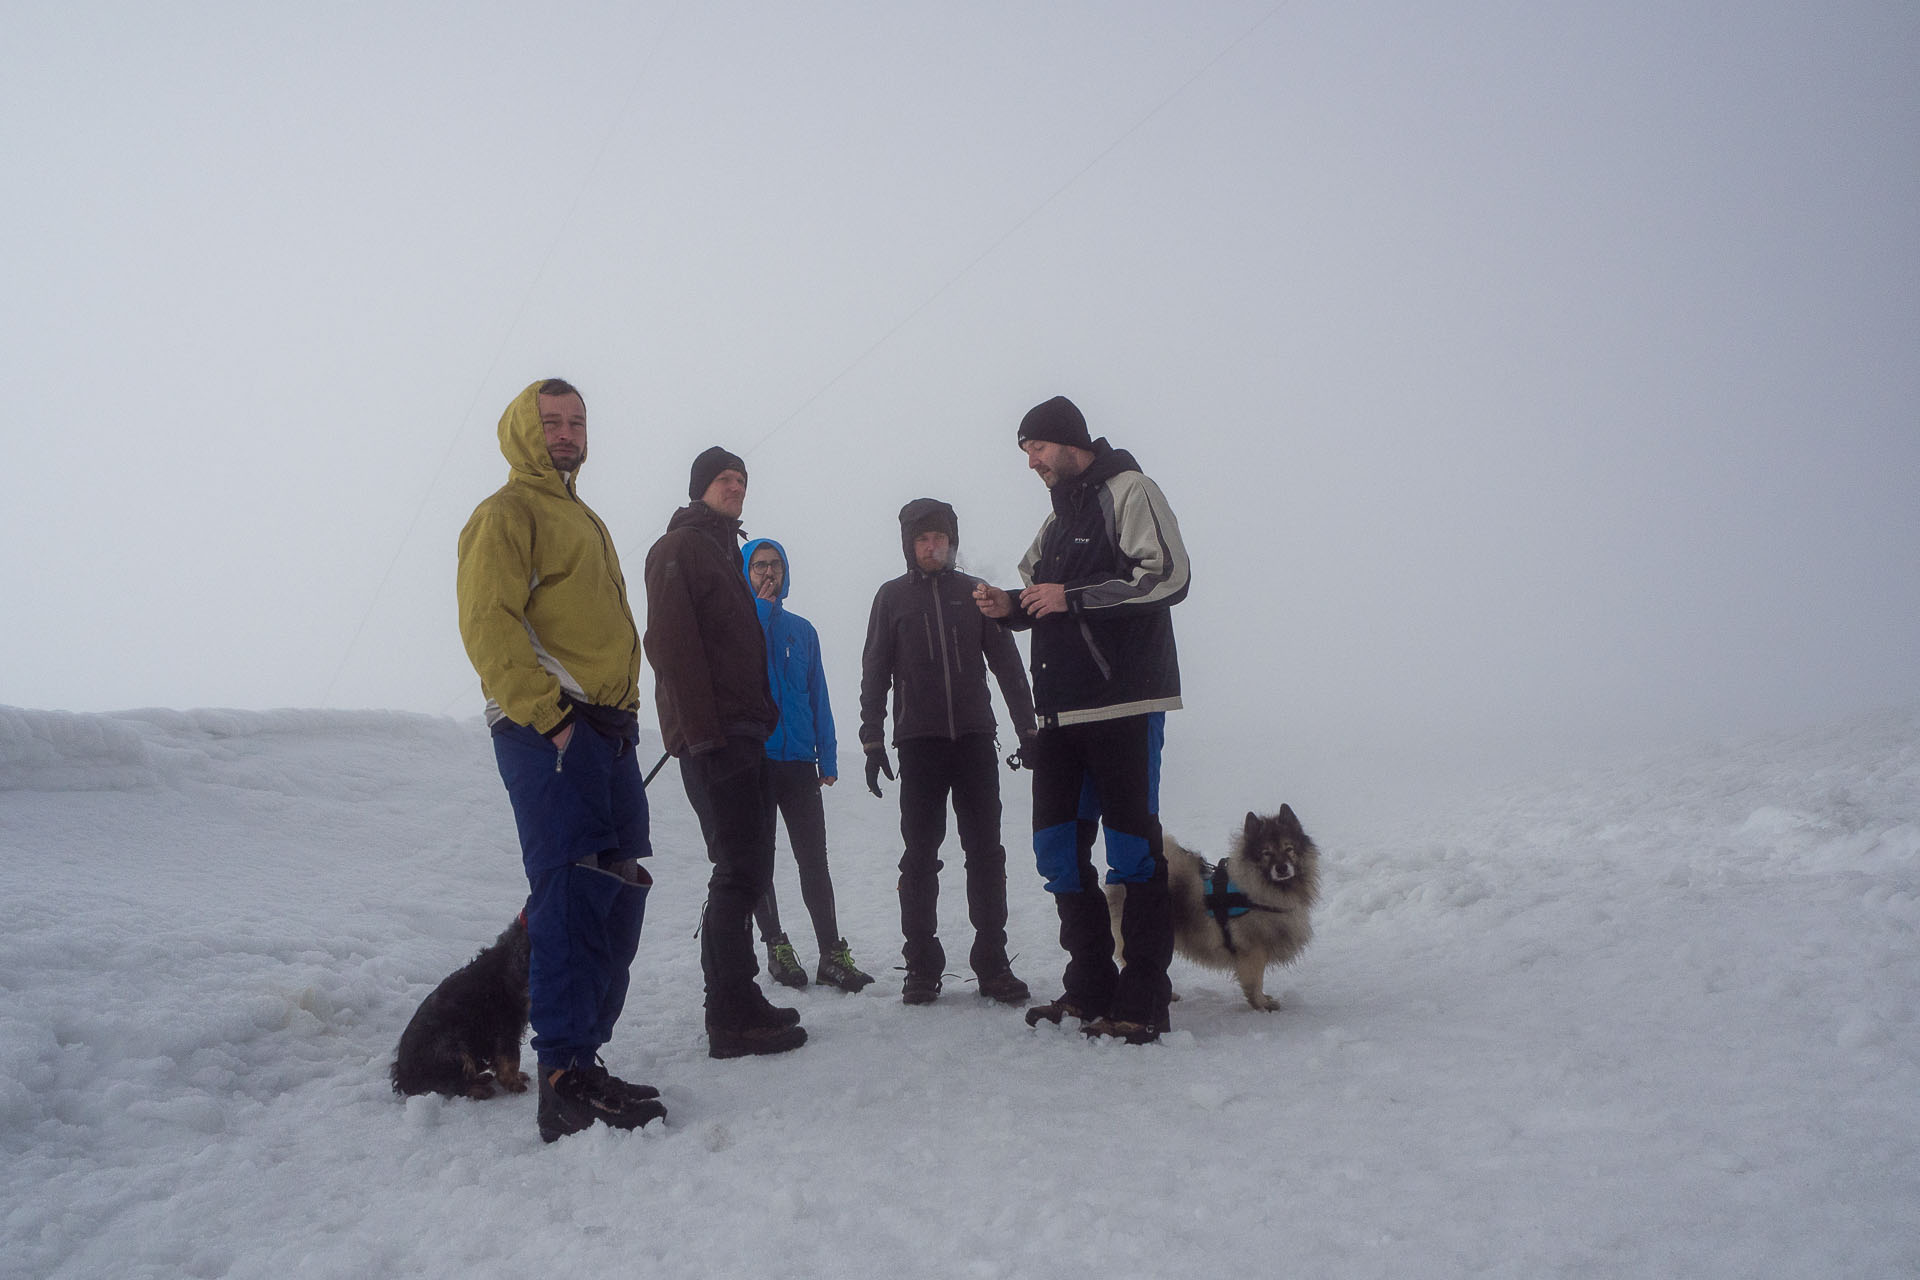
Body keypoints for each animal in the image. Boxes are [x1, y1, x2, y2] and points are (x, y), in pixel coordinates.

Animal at [387, 909, 529, 1105]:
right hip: (452, 1048)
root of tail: (403, 1077)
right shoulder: (507, 1023)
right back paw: (479, 1090)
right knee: (448, 1084)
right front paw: (514, 1083)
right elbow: (511, 1058)